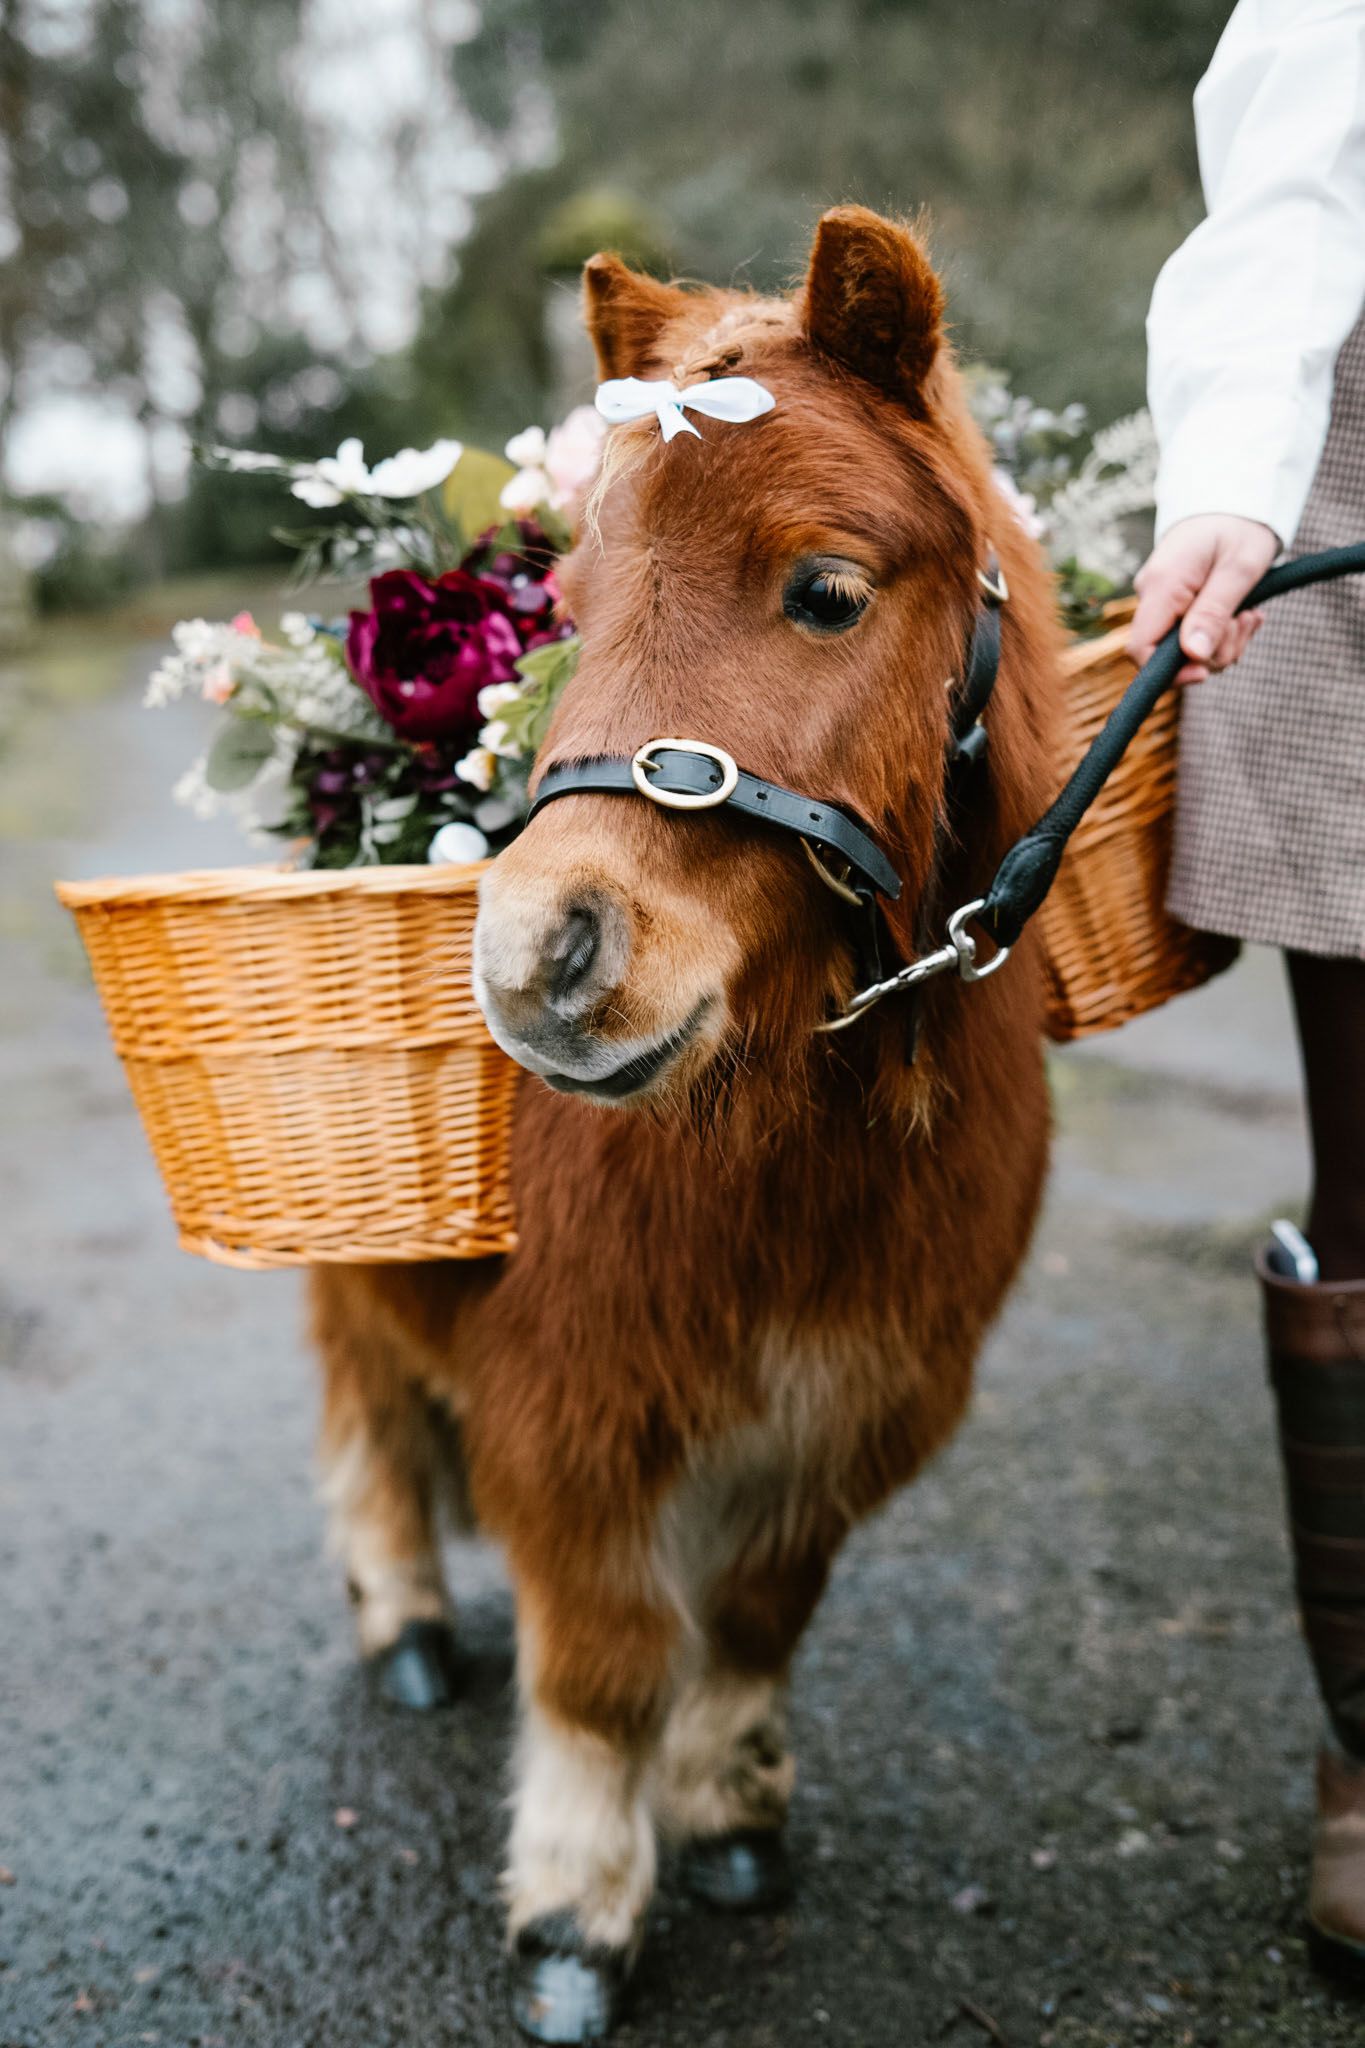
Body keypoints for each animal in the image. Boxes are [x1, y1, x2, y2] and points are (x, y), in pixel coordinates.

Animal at [309, 203, 1064, 2042]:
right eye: (568, 604)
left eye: (827, 591)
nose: (543, 955)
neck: (790, 1152)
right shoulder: (571, 1411)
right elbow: (603, 1665)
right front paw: (577, 1916)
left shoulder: (846, 1410)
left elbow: (749, 1624)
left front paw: (726, 1817)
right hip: (356, 1282)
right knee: (370, 1417)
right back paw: (405, 1618)